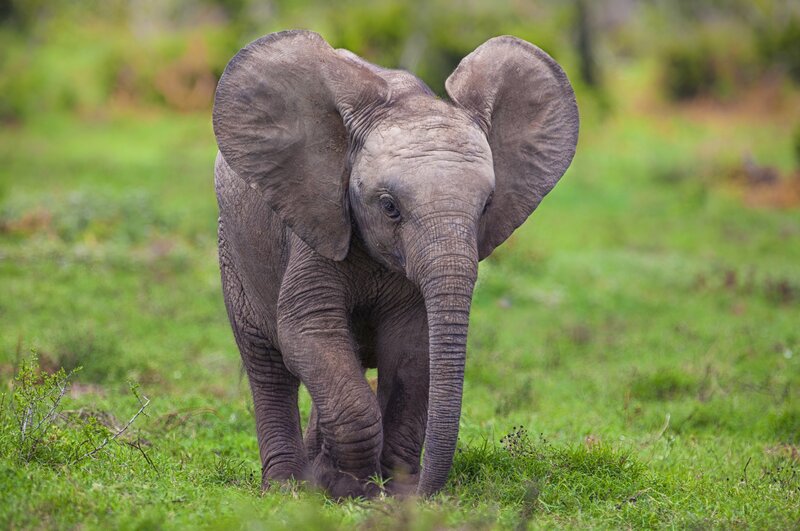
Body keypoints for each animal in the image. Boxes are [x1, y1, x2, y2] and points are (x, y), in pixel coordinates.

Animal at [212, 30, 578, 499]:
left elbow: (412, 349)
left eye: (486, 207)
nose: (421, 490)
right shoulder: (315, 227)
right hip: (233, 248)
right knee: (267, 363)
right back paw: (285, 486)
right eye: (389, 207)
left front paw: (387, 489)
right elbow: (308, 331)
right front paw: (348, 487)